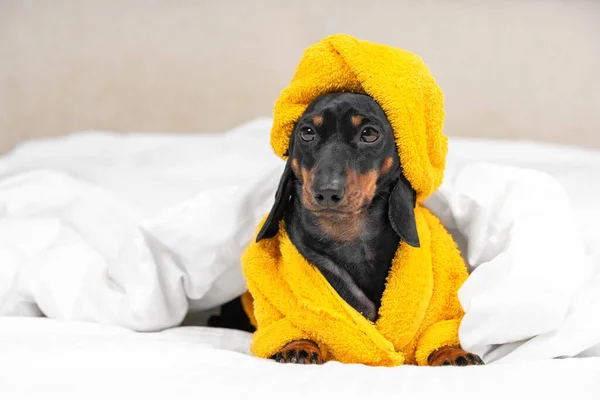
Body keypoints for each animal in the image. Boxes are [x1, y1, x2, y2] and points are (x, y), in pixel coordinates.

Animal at [211, 92, 482, 368]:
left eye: (369, 134)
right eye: (307, 132)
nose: (326, 191)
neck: (349, 236)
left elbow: (438, 329)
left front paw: (452, 352)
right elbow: (288, 325)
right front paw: (298, 346)